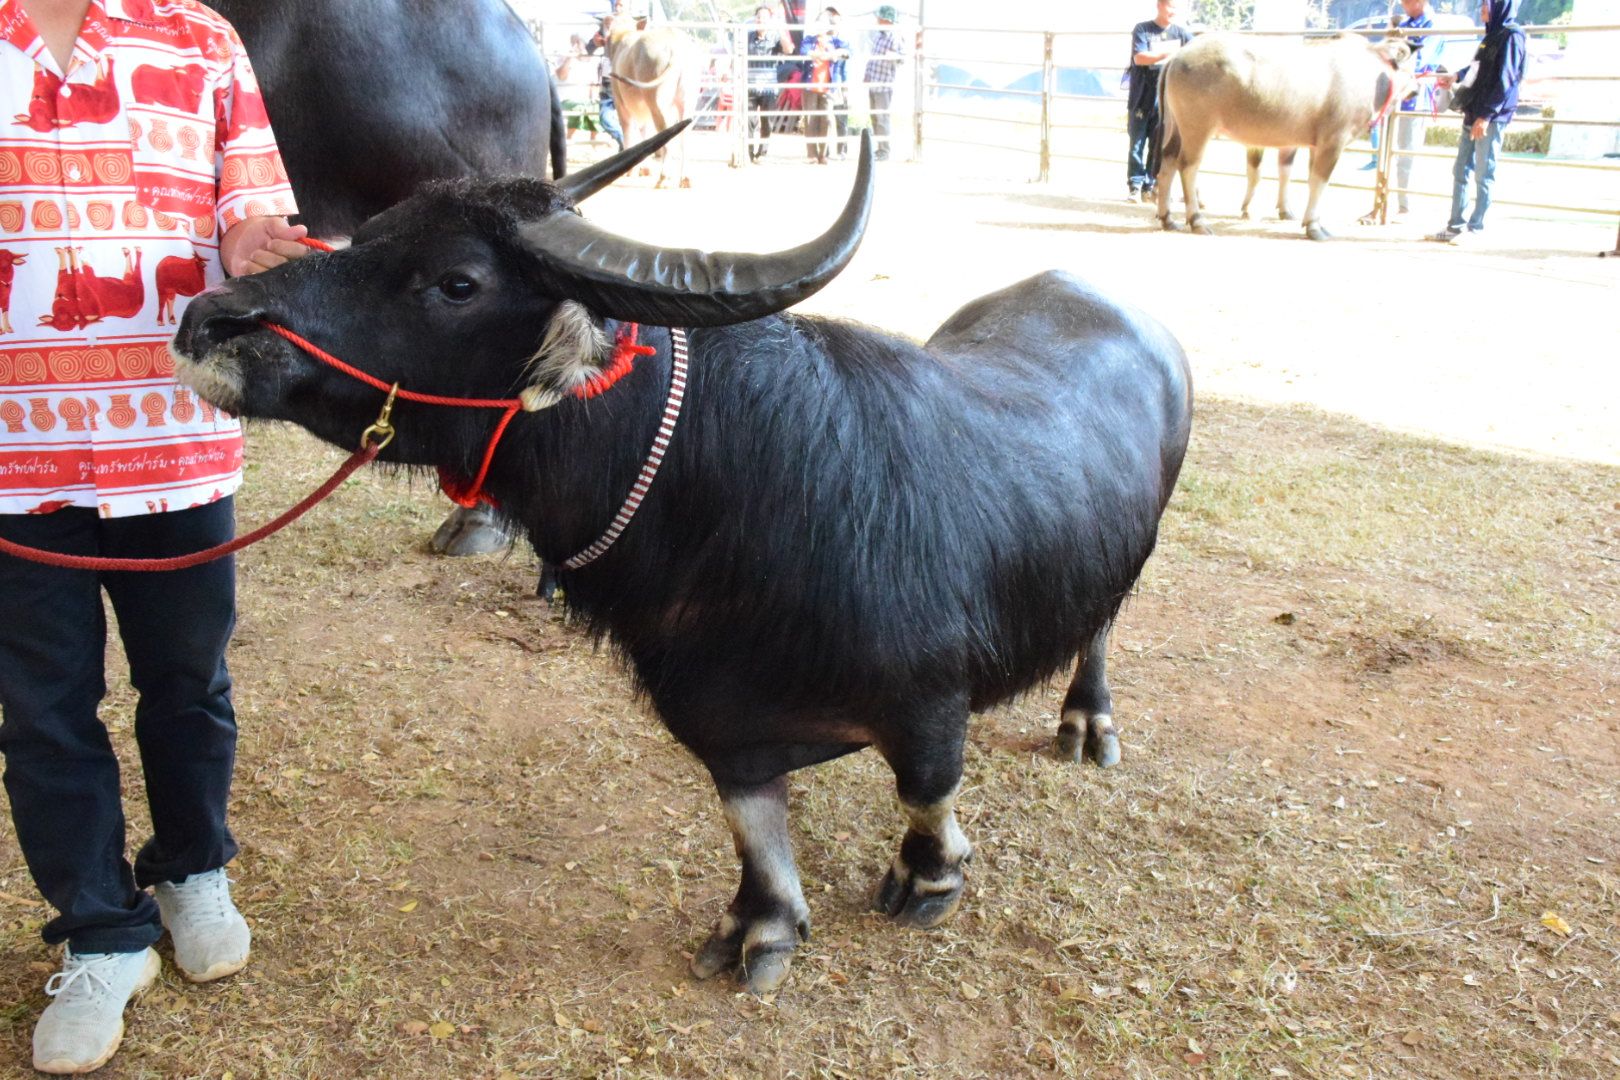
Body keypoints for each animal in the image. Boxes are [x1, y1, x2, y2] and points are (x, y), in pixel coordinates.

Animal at [172, 128, 1193, 992]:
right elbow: (753, 823)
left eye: (456, 283)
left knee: (1103, 626)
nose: (210, 319)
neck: (738, 500)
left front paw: (929, 879)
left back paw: (1087, 722)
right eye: (370, 233)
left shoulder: (930, 699)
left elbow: (926, 789)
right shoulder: (715, 716)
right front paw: (763, 926)